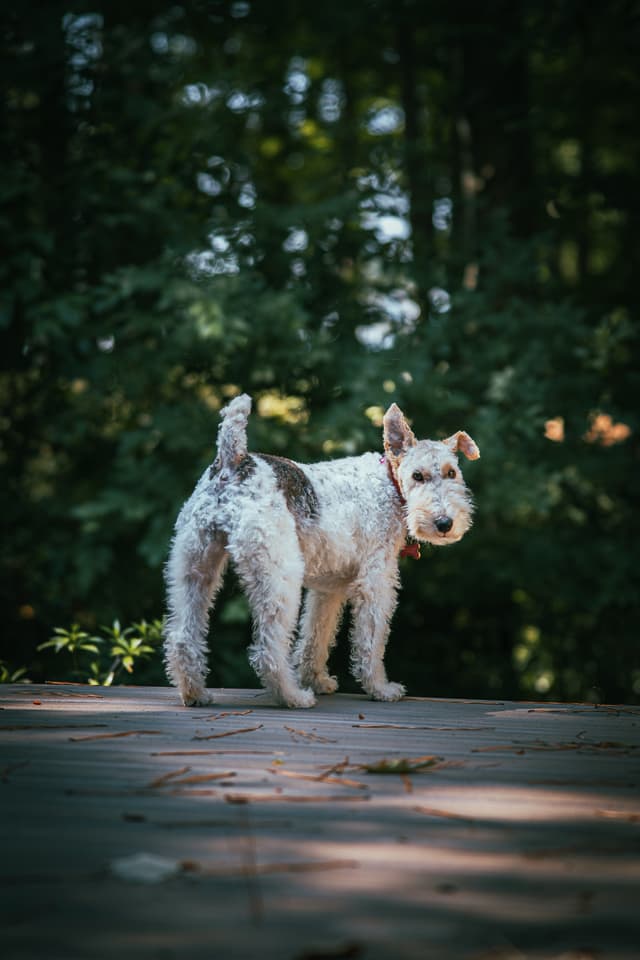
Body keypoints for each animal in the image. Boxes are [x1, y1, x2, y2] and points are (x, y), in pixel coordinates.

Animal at [162, 394, 478, 708]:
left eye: (452, 472)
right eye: (417, 475)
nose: (444, 523)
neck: (389, 484)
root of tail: (233, 460)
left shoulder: (329, 587)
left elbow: (316, 635)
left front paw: (317, 679)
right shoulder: (376, 581)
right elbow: (371, 639)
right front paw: (379, 688)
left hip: (194, 565)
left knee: (181, 637)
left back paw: (195, 694)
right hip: (279, 576)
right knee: (267, 648)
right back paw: (294, 696)